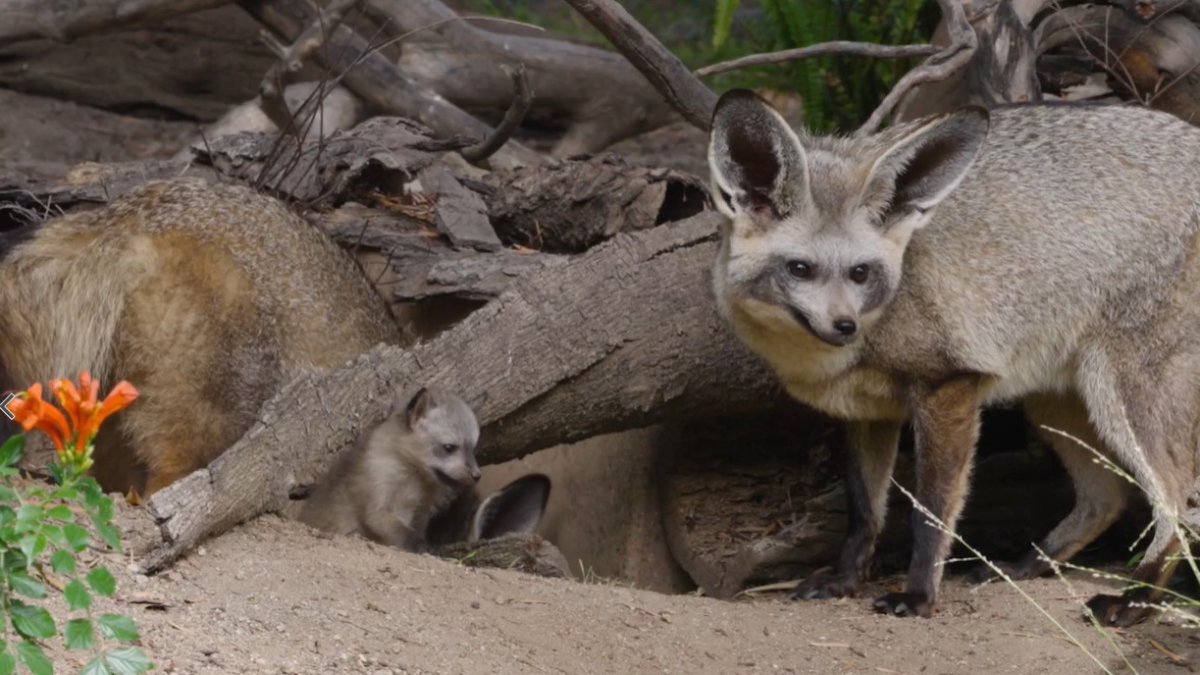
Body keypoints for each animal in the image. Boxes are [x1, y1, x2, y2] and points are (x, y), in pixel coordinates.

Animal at [299, 386, 483, 552]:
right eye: (449, 447)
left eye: (473, 448)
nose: (477, 476)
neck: (412, 477)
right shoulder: (377, 505)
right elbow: (406, 534)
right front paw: (423, 547)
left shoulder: (421, 511)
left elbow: (414, 531)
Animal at [707, 89, 1200, 627]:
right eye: (799, 269)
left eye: (861, 273)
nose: (845, 326)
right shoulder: (866, 412)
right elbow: (864, 511)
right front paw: (844, 580)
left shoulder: (948, 388)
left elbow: (931, 513)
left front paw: (919, 594)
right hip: (1054, 404)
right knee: (1106, 499)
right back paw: (1025, 566)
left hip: (1121, 397)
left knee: (1177, 503)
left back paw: (1136, 599)